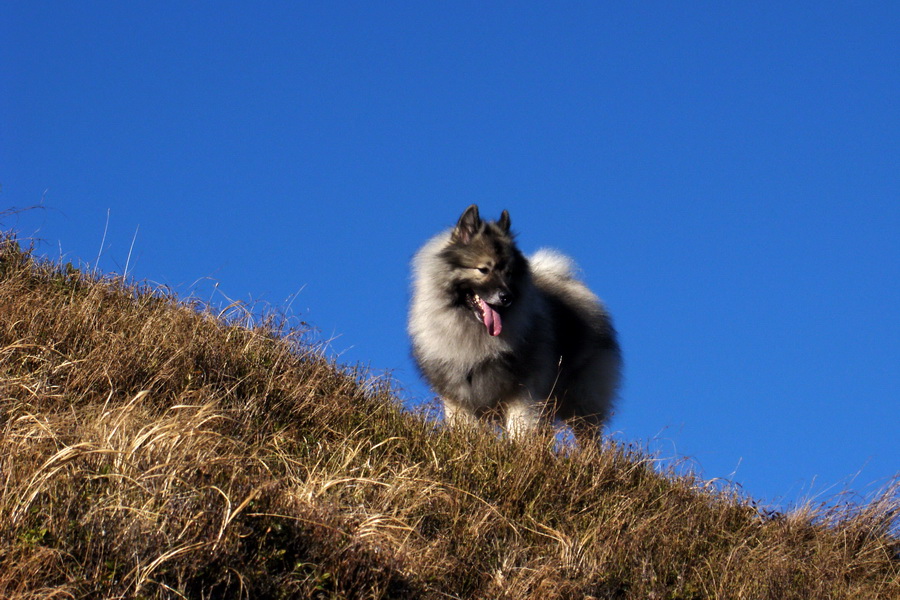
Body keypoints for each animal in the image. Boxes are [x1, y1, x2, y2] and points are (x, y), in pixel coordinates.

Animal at [408, 204, 620, 438]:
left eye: (508, 273)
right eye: (483, 269)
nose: (506, 297)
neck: (473, 331)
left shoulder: (523, 393)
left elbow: (520, 430)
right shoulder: (458, 397)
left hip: (580, 401)